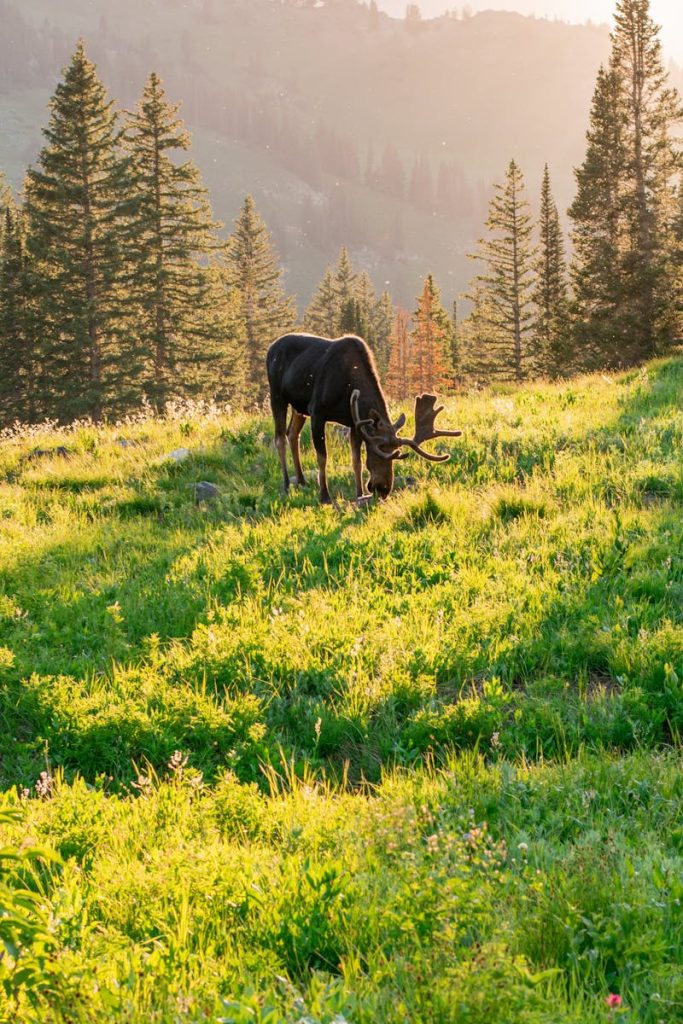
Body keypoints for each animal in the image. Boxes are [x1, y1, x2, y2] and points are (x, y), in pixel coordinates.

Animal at [266, 332, 462, 504]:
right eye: (377, 454)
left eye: (395, 455)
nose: (383, 489)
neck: (348, 387)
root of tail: (270, 348)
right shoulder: (317, 412)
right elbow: (322, 457)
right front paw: (324, 495)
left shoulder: (354, 423)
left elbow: (356, 461)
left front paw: (359, 493)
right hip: (277, 396)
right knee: (280, 438)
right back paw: (286, 484)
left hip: (298, 407)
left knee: (293, 434)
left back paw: (302, 480)